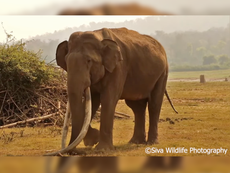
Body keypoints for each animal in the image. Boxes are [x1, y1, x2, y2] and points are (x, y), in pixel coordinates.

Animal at [45, 27, 178, 155]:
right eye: (66, 61)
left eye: (89, 61)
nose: (74, 152)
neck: (98, 36)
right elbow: (92, 101)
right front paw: (90, 141)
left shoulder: (118, 68)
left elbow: (108, 99)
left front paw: (102, 149)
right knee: (136, 106)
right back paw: (135, 142)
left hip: (163, 73)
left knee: (154, 104)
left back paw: (151, 143)